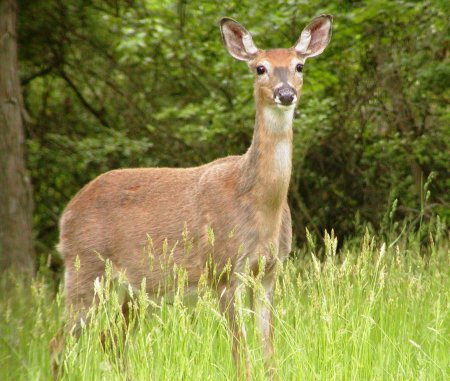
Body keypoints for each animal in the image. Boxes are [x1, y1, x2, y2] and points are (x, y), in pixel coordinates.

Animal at [54, 14, 332, 380]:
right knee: (59, 344)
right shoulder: (224, 269)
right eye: (260, 68)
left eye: (299, 65)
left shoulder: (270, 271)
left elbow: (269, 353)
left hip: (138, 289)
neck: (260, 206)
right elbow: (240, 356)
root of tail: (67, 213)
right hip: (86, 268)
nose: (285, 94)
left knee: (109, 338)